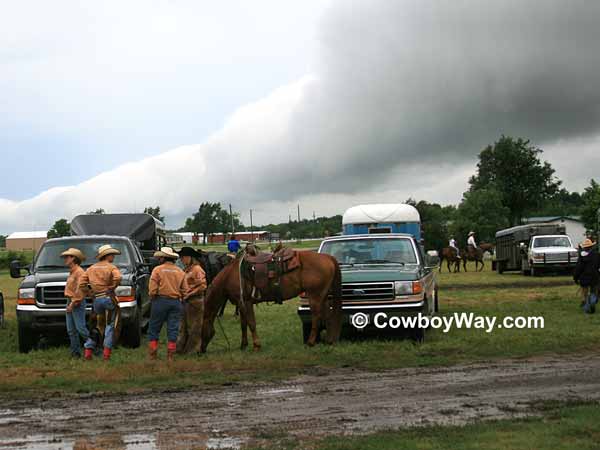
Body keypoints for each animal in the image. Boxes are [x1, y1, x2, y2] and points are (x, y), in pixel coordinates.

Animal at [202, 246, 342, 352]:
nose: (200, 351)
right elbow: (243, 324)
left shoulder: (246, 302)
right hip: (323, 297)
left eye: (201, 328)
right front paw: (243, 345)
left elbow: (251, 323)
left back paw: (311, 342)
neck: (231, 274)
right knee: (328, 316)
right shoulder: (241, 303)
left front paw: (256, 346)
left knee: (317, 318)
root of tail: (328, 257)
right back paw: (329, 341)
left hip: (315, 297)